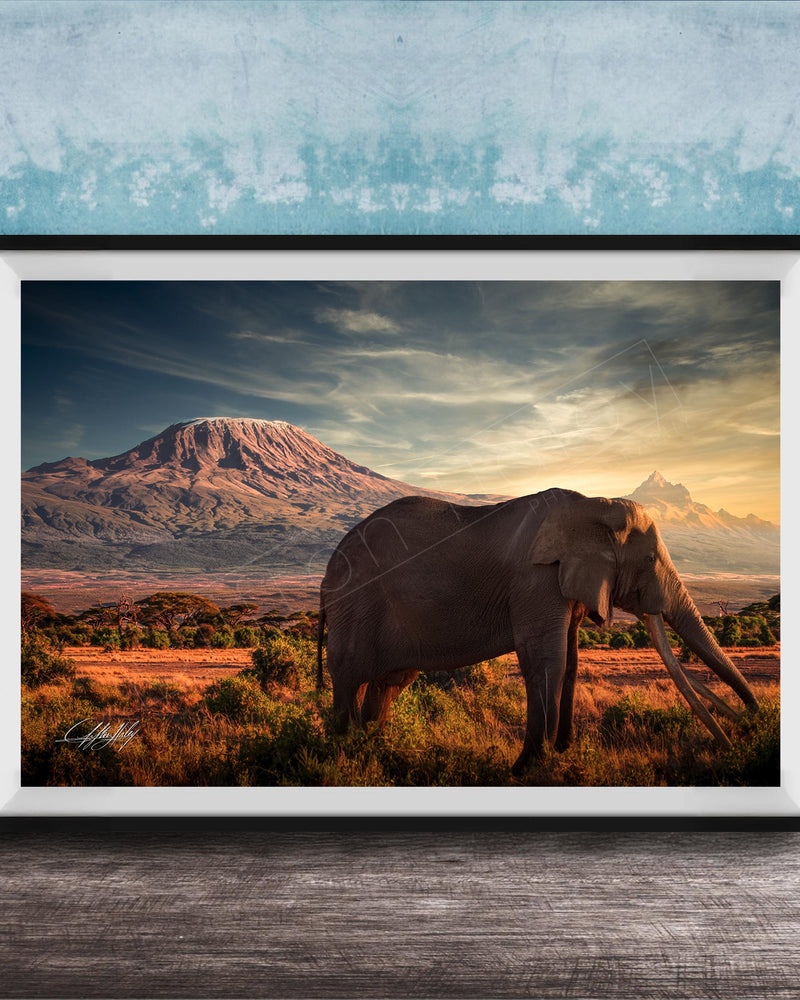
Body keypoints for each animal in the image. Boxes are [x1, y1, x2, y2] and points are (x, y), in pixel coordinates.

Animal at [316, 488, 758, 775]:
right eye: (649, 560)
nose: (749, 727)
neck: (591, 505)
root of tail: (326, 574)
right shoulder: (536, 580)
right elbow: (546, 658)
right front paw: (529, 767)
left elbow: (569, 659)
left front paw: (561, 754)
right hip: (355, 606)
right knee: (350, 676)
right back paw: (342, 754)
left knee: (388, 682)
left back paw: (375, 750)